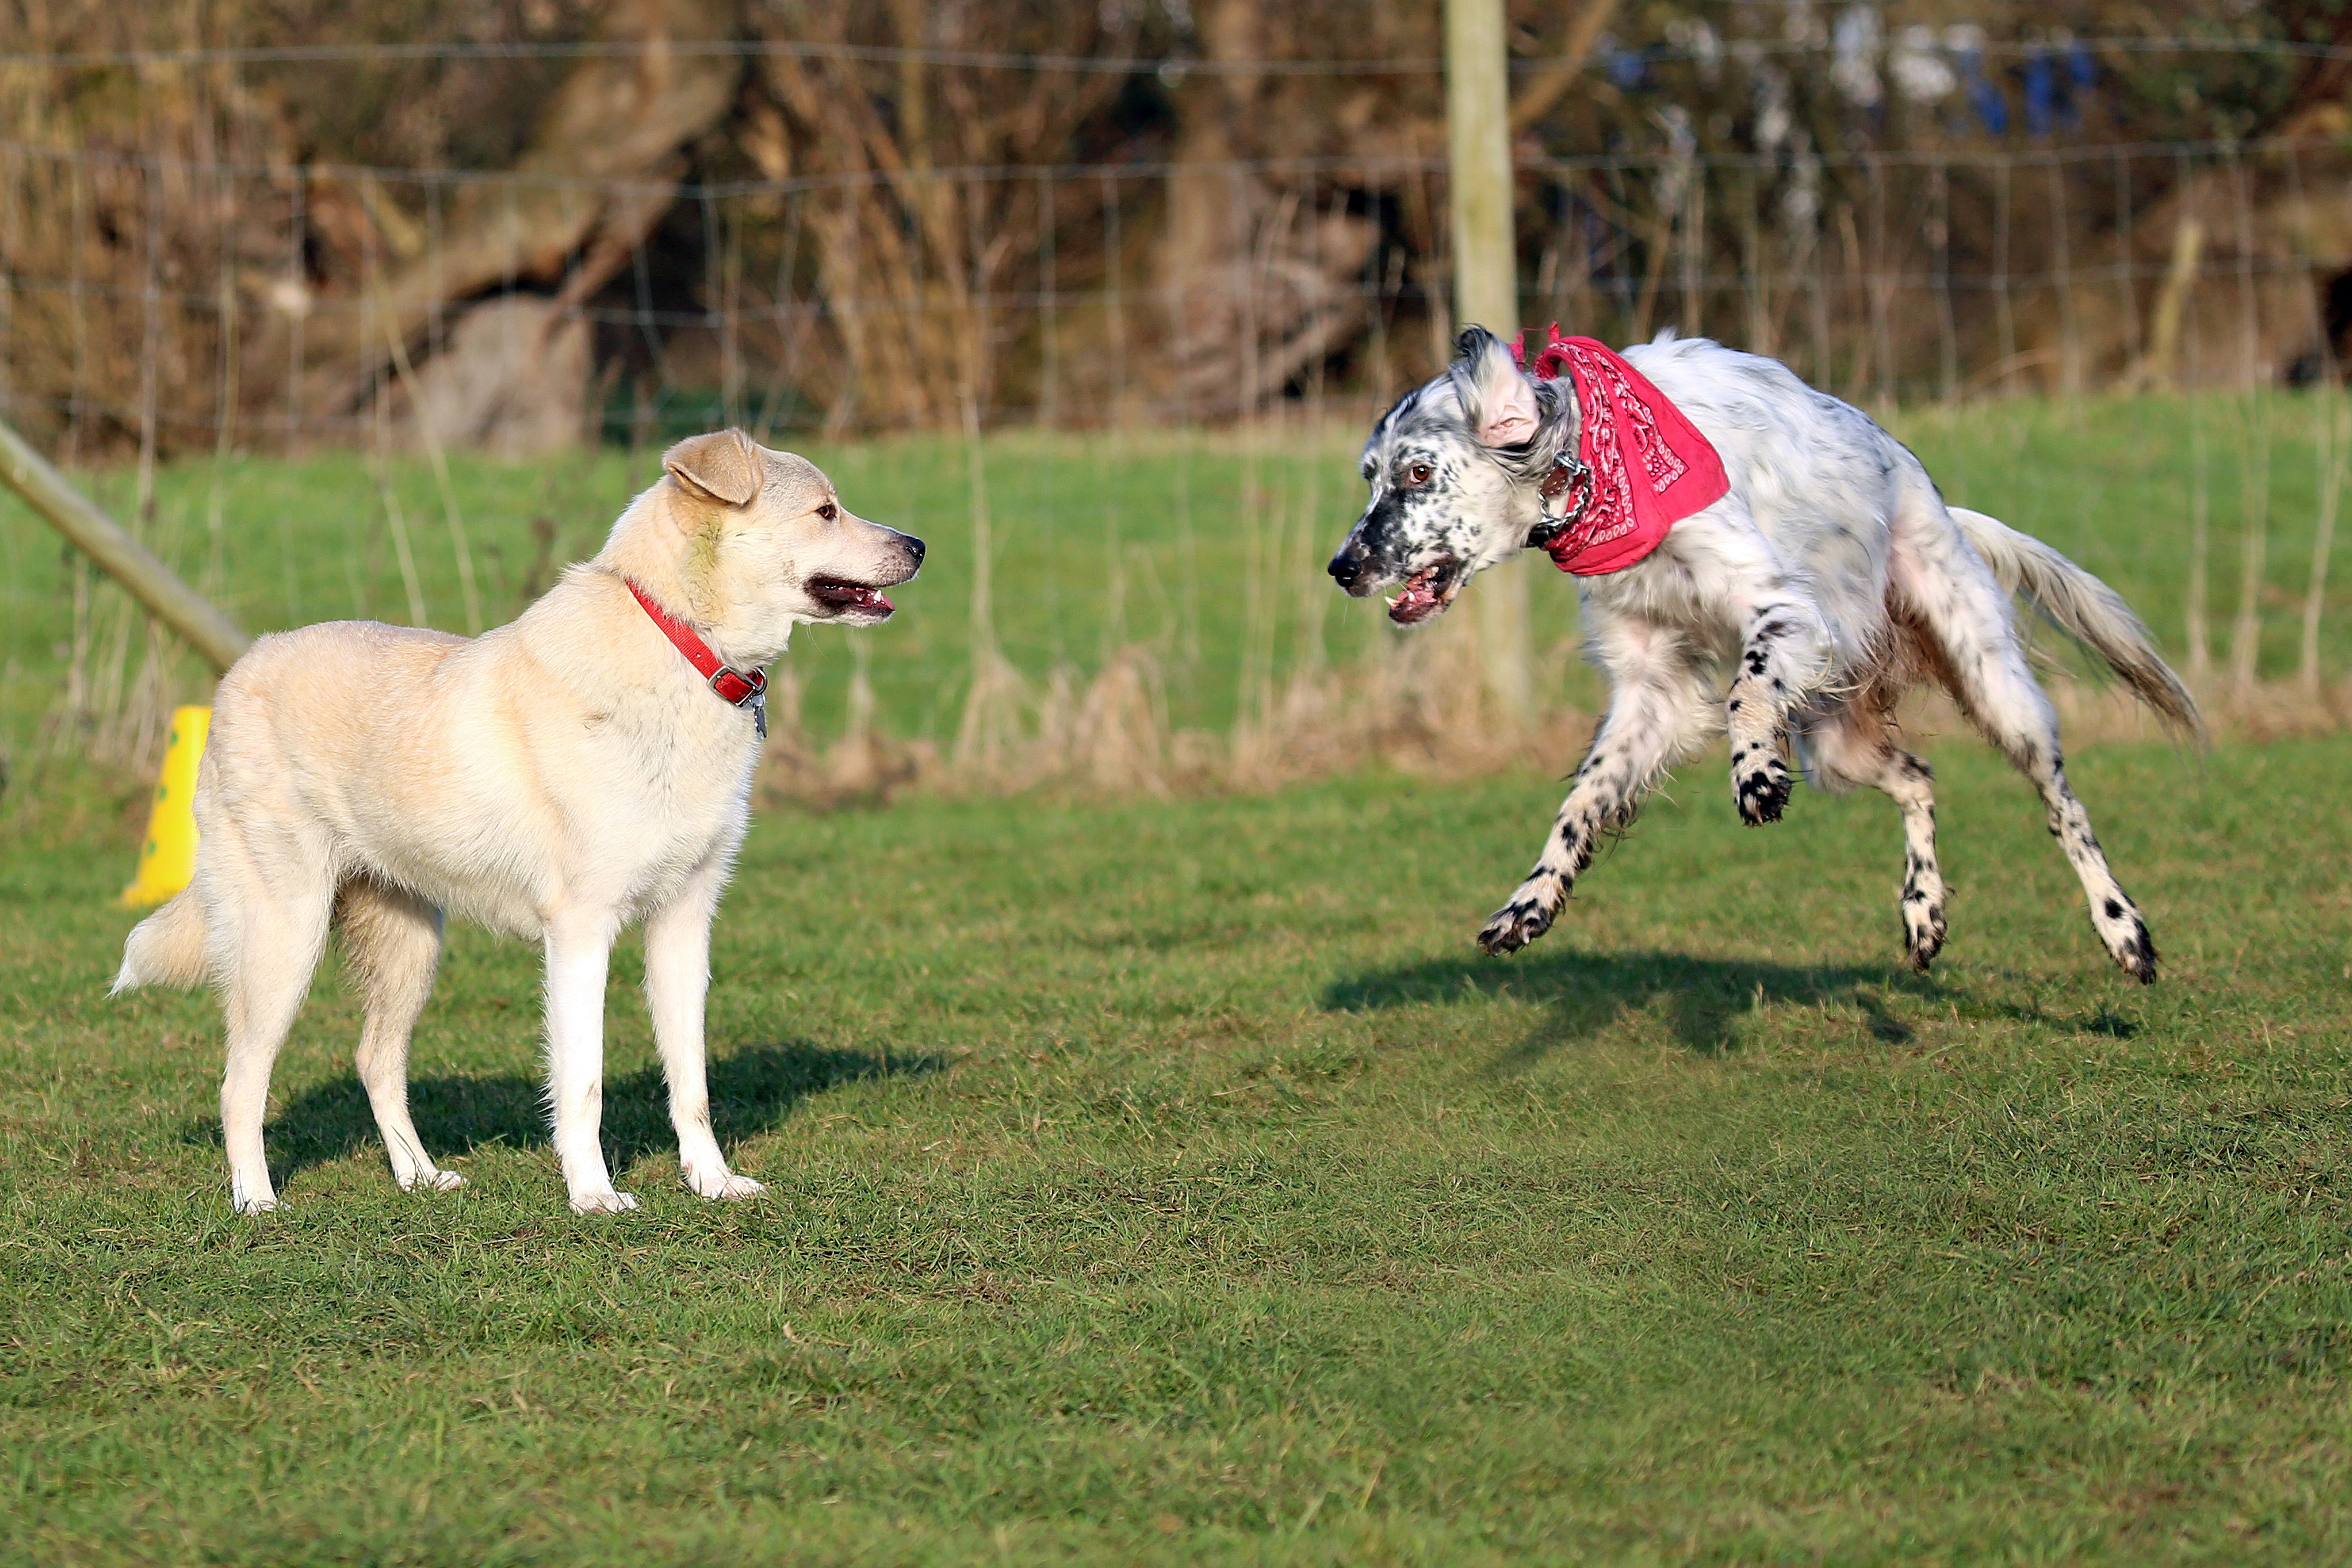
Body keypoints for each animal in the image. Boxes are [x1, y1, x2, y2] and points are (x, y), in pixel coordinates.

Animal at [119, 430, 922, 1213]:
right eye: (825, 512)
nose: (918, 546)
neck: (683, 644)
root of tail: (242, 669)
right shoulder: (581, 933)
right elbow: (584, 1083)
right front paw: (594, 1197)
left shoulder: (685, 923)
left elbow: (691, 1082)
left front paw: (713, 1184)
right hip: (285, 935)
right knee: (242, 1081)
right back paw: (257, 1203)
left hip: (410, 944)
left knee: (375, 1062)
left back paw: (421, 1179)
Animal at [1336, 329, 2192, 982]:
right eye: (1371, 476)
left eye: (1418, 472)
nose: (1342, 567)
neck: (1595, 466)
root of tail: (1937, 499)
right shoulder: (1651, 687)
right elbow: (1582, 802)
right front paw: (1532, 901)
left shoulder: (1786, 611)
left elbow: (1744, 691)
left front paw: (1753, 772)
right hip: (1836, 742)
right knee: (1918, 778)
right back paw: (1923, 910)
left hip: (1992, 683)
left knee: (2063, 810)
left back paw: (2124, 930)